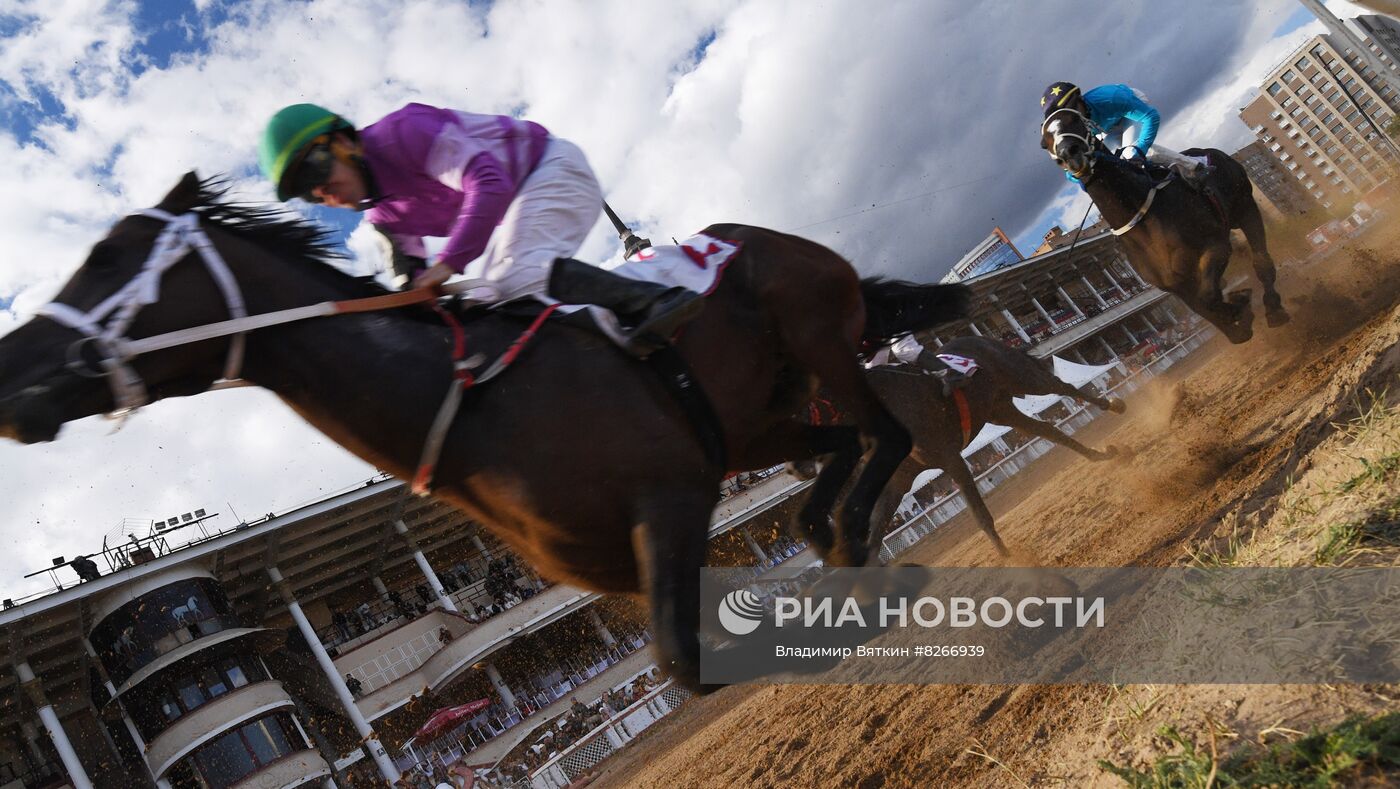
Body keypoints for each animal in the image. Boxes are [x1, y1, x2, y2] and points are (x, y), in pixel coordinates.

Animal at [0, 174, 968, 691]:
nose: (11, 369)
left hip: (818, 338)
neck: (478, 406)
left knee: (884, 433)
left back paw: (862, 533)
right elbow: (693, 649)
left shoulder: (671, 504)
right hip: (760, 421)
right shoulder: (635, 552)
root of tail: (778, 238)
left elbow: (689, 654)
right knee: (837, 453)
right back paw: (842, 536)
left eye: (106, 256)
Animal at [1041, 107, 1288, 342]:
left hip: (1246, 206)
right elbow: (1211, 313)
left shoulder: (1215, 246)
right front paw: (1238, 307)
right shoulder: (1173, 284)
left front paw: (1240, 304)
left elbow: (1209, 297)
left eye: (1075, 120)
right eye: (1045, 142)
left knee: (1261, 260)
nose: (1069, 154)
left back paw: (1274, 309)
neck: (1143, 220)